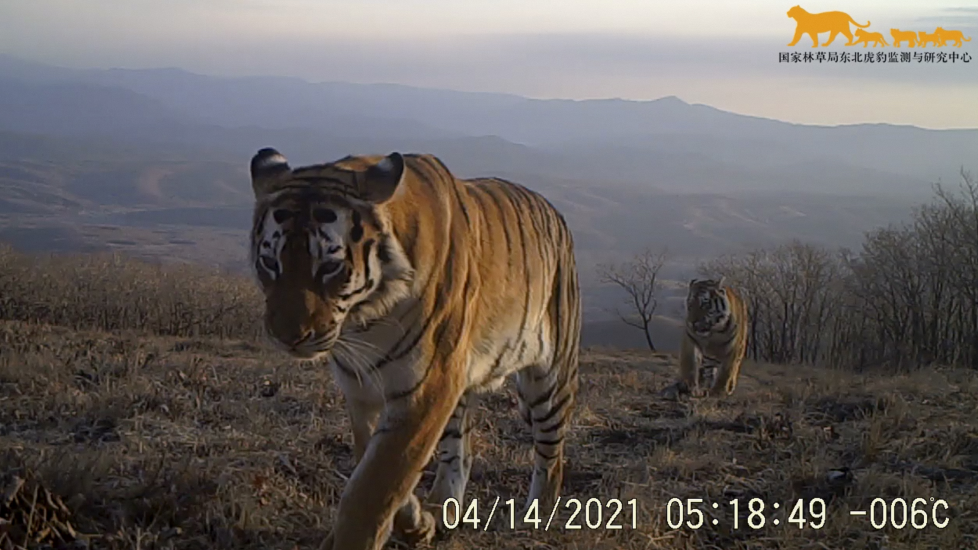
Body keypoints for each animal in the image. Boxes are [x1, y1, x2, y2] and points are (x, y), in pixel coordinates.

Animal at [248, 148, 580, 550]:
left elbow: (373, 487)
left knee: (552, 456)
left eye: (329, 267)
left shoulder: (426, 386)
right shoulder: (363, 389)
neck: (364, 321)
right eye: (270, 262)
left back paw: (537, 516)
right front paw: (415, 524)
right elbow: (377, 463)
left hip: (549, 378)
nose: (288, 336)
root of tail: (555, 212)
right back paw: (441, 510)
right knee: (460, 452)